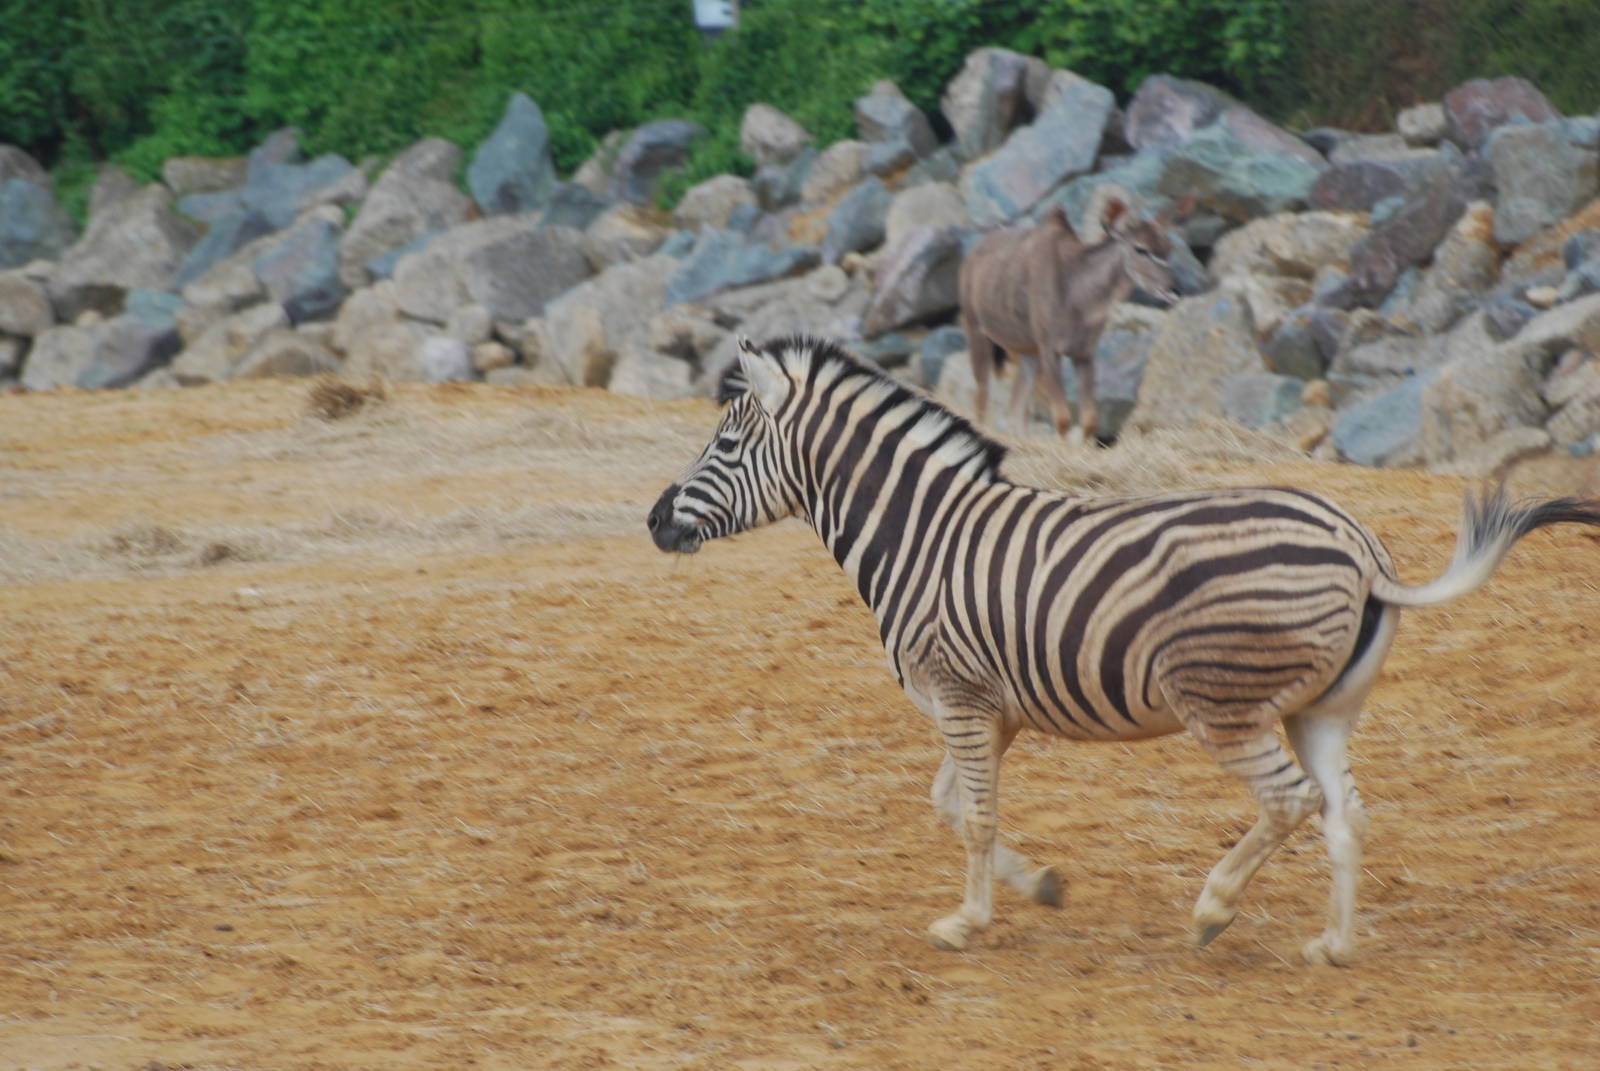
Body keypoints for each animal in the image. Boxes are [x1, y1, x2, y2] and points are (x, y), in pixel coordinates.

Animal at [646, 333, 1600, 966]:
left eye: (724, 443)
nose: (655, 520)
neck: (921, 532)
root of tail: (1360, 548)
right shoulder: (989, 708)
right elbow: (951, 806)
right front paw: (1039, 886)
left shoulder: (960, 696)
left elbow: (972, 814)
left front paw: (966, 923)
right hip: (1321, 708)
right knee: (1345, 812)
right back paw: (1332, 943)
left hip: (1223, 704)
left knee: (1290, 802)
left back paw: (1214, 909)